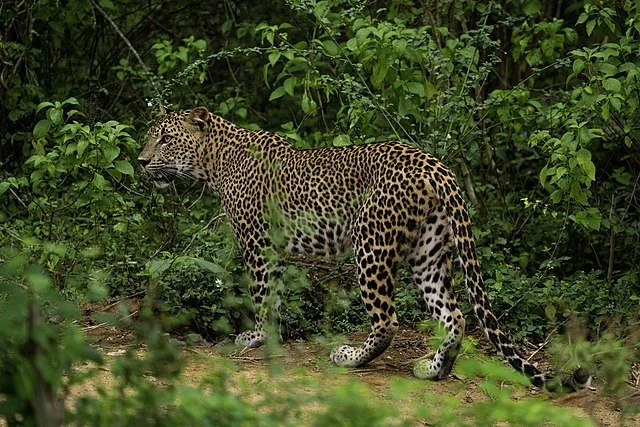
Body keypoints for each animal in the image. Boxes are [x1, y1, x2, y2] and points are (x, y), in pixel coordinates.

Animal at [138, 106, 590, 391]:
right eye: (150, 138)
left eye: (165, 139)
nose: (141, 161)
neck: (216, 162)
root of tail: (439, 168)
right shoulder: (276, 251)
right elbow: (277, 297)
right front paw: (271, 335)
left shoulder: (258, 245)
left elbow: (263, 296)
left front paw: (256, 337)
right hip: (428, 253)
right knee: (455, 315)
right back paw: (434, 369)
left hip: (371, 243)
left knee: (388, 320)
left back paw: (351, 356)